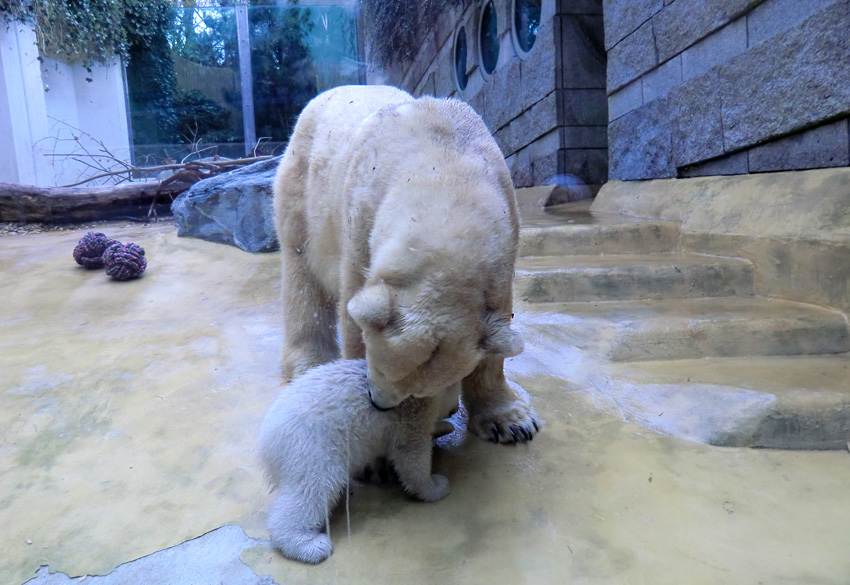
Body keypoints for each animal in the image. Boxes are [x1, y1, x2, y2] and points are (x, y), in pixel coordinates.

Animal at [272, 85, 536, 442]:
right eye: (378, 368)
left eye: (420, 389)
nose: (379, 403)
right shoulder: (360, 218)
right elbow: (352, 313)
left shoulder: (507, 234)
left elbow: (497, 329)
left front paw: (512, 422)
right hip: (303, 187)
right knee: (302, 273)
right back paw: (307, 365)